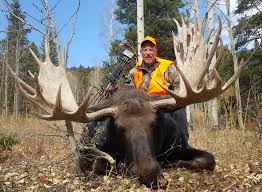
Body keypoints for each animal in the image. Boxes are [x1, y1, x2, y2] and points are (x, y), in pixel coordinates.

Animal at [9, 16, 244, 188]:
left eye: (154, 123)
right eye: (120, 128)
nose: (149, 173)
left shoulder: (181, 145)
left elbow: (209, 159)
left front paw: (174, 162)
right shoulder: (99, 155)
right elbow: (104, 165)